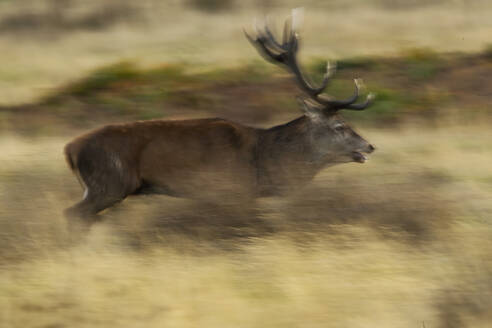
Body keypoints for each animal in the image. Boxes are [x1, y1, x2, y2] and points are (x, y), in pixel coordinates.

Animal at [63, 13, 374, 223]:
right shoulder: (226, 189)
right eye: (340, 125)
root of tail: (70, 149)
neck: (262, 163)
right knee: (72, 215)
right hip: (109, 182)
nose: (370, 146)